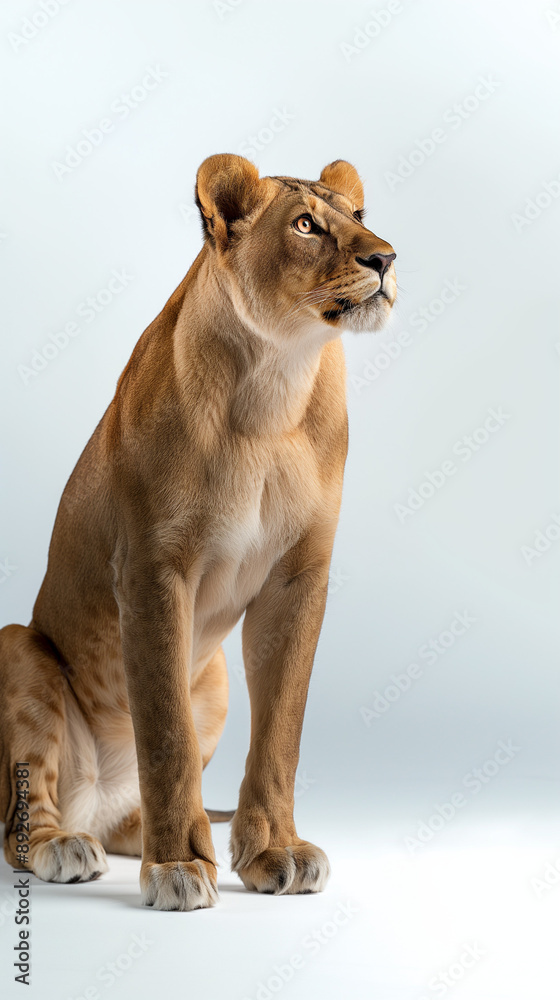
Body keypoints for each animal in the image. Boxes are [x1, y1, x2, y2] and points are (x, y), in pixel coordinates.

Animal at [0, 155, 396, 910]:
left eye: (360, 217)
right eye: (306, 225)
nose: (386, 258)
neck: (276, 383)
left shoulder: (298, 578)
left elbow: (280, 732)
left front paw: (272, 852)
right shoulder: (154, 571)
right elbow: (165, 735)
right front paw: (180, 866)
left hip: (211, 681)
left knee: (122, 813)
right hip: (18, 649)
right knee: (23, 816)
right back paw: (67, 844)